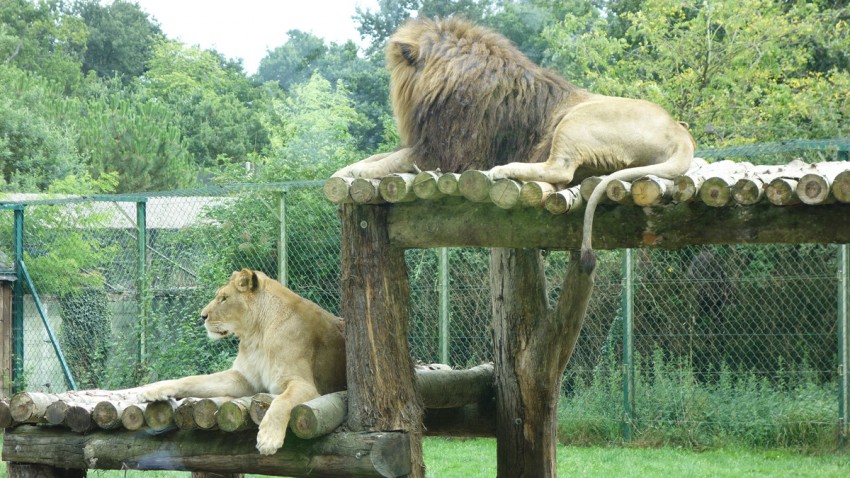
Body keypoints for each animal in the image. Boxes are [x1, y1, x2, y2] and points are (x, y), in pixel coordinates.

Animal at [137, 268, 342, 456]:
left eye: (224, 298)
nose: (202, 316)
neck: (256, 335)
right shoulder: (243, 378)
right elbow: (192, 380)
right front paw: (152, 390)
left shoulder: (304, 384)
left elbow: (282, 401)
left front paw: (268, 439)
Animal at [330, 16, 688, 270]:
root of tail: (681, 133)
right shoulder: (429, 145)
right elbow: (379, 155)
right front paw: (346, 169)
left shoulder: (444, 154)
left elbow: (391, 160)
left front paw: (358, 174)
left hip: (575, 121)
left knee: (560, 170)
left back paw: (502, 169)